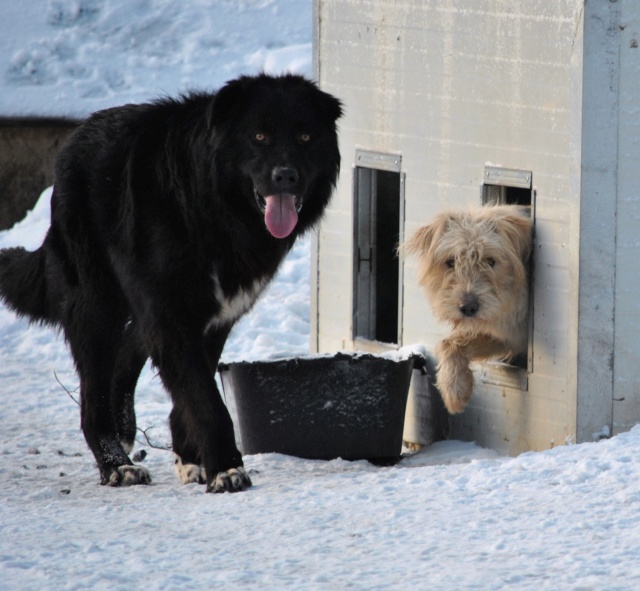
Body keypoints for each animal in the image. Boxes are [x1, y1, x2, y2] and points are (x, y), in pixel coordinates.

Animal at [0, 74, 342, 494]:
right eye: (259, 136)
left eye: (306, 137)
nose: (286, 175)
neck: (211, 206)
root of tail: (73, 140)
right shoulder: (171, 317)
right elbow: (207, 401)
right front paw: (227, 469)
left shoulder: (210, 320)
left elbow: (191, 396)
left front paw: (193, 460)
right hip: (96, 309)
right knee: (92, 399)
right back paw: (116, 465)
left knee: (128, 353)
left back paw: (126, 433)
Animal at [402, 206, 532, 414]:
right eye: (451, 262)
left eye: (490, 261)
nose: (468, 307)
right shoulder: (506, 333)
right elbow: (449, 342)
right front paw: (454, 389)